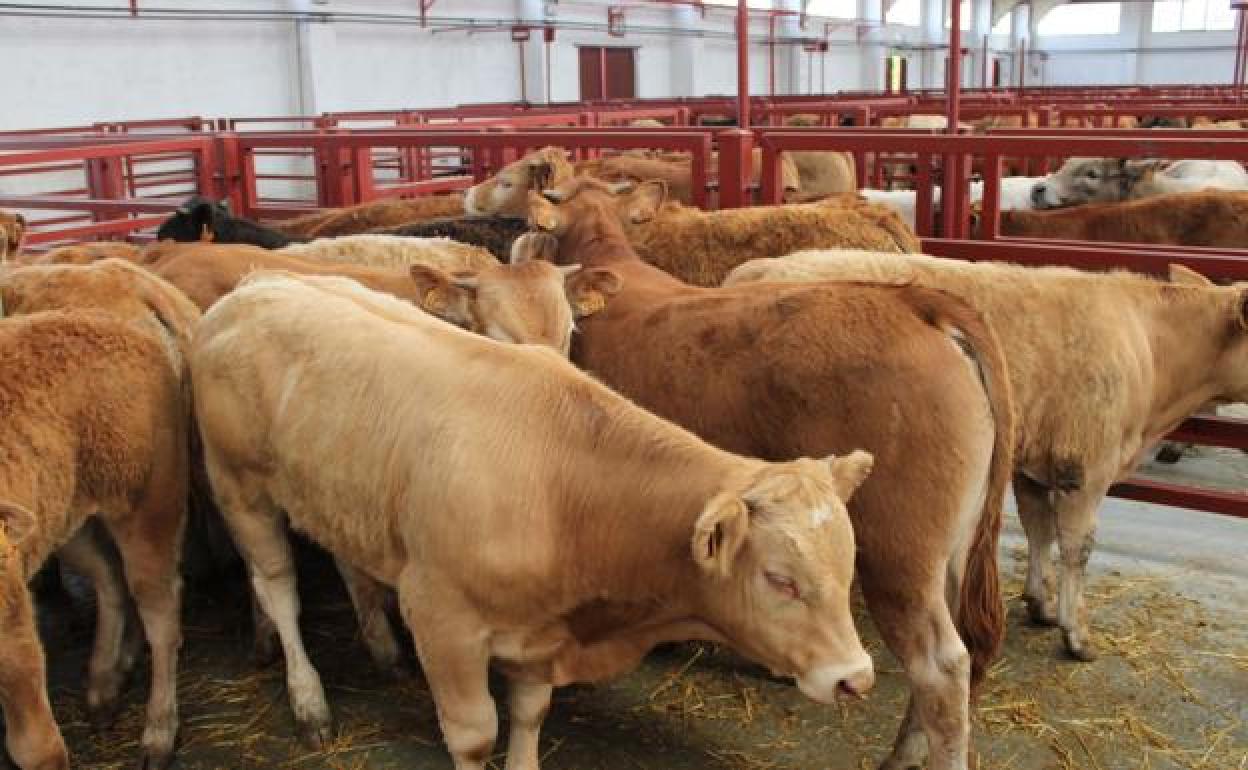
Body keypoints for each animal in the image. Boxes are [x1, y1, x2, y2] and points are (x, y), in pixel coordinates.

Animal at [192, 267, 878, 763]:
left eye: (847, 571)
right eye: (780, 580)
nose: (857, 680)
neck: (563, 488)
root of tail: (257, 283)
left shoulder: (541, 635)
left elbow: (528, 719)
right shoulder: (441, 618)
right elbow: (475, 736)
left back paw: (380, 648)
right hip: (240, 489)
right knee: (278, 587)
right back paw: (308, 699)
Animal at [723, 249, 1248, 658]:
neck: (1149, 347)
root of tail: (752, 271)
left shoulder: (1037, 465)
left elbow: (1038, 531)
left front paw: (1039, 603)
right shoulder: (1086, 467)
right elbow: (1077, 547)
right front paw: (1075, 632)